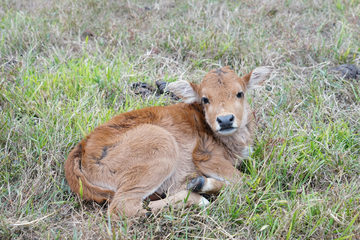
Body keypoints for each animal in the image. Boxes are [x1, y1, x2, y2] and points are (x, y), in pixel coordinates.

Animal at [65, 65, 272, 218]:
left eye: (240, 93)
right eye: (205, 99)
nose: (225, 119)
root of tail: (83, 147)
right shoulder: (207, 158)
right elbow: (247, 182)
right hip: (161, 146)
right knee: (124, 207)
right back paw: (198, 198)